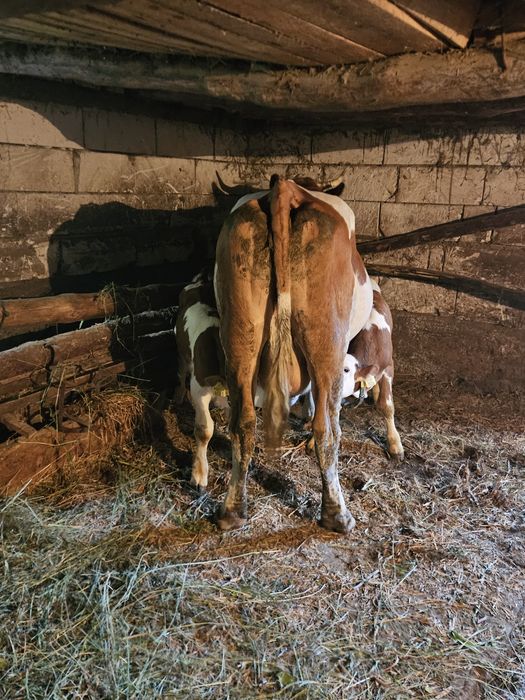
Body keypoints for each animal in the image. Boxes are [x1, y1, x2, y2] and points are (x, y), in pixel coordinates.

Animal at [214, 175, 373, 533]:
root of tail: (284, 187)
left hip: (239, 334)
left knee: (242, 423)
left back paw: (232, 511)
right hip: (326, 338)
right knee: (328, 428)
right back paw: (337, 514)